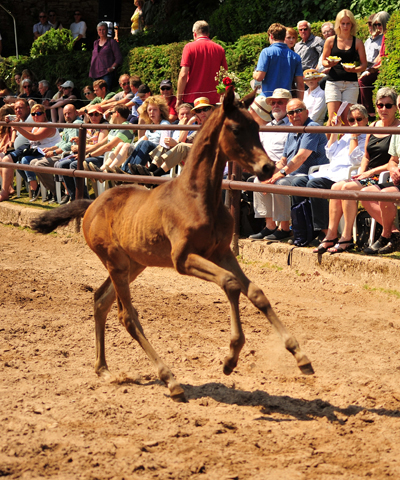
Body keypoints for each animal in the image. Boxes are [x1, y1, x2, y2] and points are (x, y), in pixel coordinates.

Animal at [31, 87, 314, 402]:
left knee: (101, 300)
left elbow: (255, 292)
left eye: (257, 127)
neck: (198, 198)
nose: (267, 168)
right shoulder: (183, 259)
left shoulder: (221, 253)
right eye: (237, 129)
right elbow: (230, 284)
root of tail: (92, 204)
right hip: (116, 263)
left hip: (133, 264)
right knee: (126, 315)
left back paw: (103, 369)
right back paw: (170, 379)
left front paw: (300, 356)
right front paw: (230, 358)